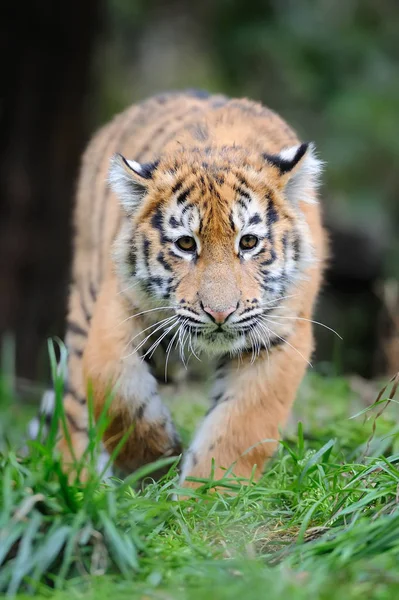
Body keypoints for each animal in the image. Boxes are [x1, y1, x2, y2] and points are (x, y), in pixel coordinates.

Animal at [41, 90, 328, 488]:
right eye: (186, 244)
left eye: (249, 242)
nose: (220, 313)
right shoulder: (115, 314)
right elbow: (117, 392)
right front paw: (154, 460)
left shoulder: (280, 337)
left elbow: (239, 428)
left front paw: (208, 493)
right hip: (84, 308)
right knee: (74, 413)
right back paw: (78, 486)